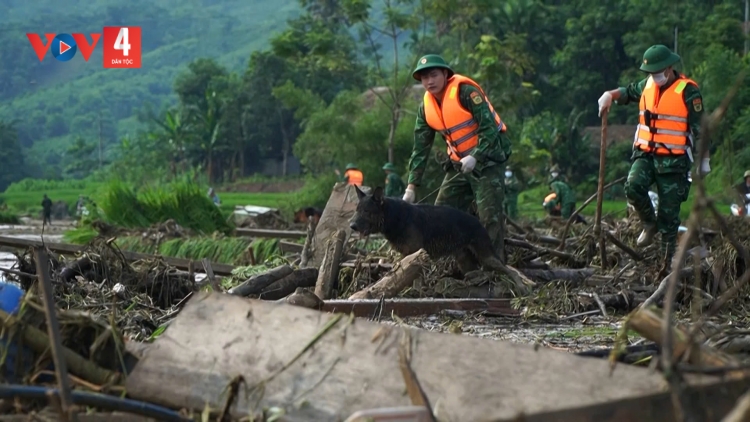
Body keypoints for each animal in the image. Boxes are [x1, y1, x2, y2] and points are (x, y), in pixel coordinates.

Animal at [352, 185, 536, 294]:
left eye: (366, 211)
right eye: (357, 210)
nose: (351, 226)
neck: (394, 217)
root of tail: (477, 221)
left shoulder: (415, 254)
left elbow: (414, 278)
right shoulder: (405, 256)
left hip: (486, 257)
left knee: (509, 270)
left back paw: (521, 286)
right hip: (465, 261)